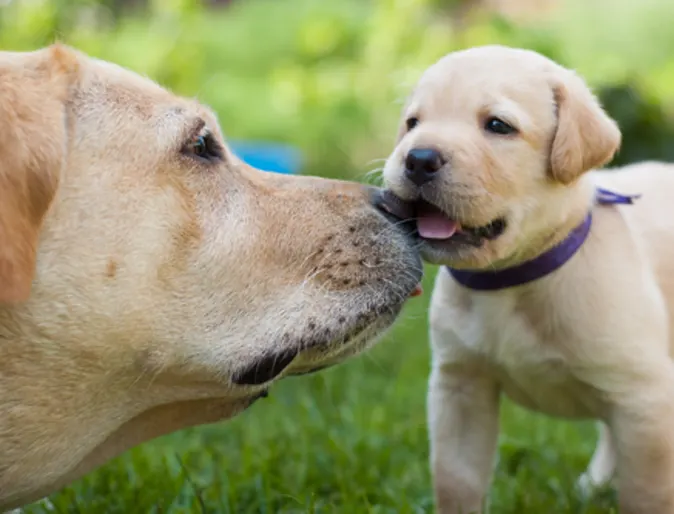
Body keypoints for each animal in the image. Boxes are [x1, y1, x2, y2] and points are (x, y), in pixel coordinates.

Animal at [380, 45, 672, 512]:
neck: (511, 281)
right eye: (412, 123)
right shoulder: (460, 387)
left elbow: (646, 494)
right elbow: (455, 480)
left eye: (498, 126)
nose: (418, 158)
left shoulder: (646, 400)